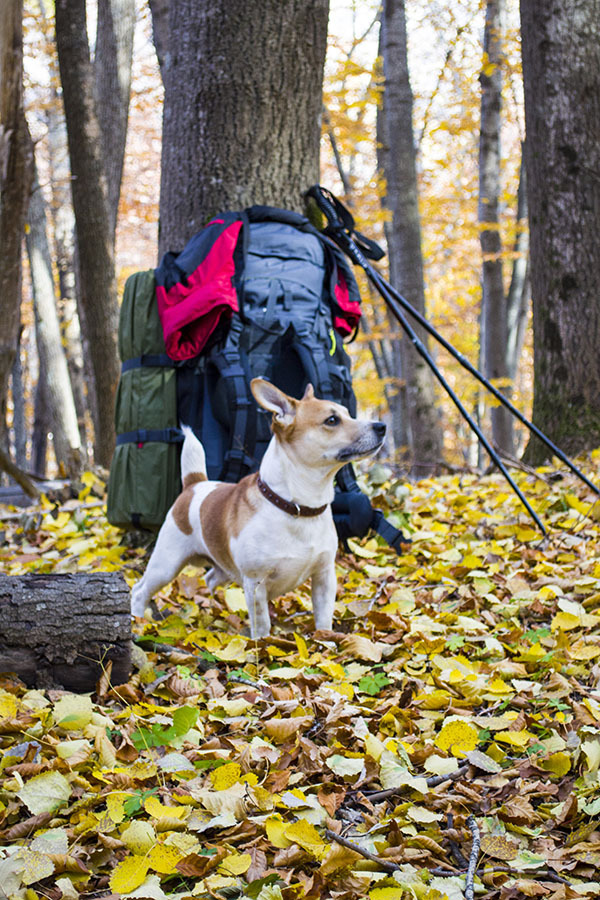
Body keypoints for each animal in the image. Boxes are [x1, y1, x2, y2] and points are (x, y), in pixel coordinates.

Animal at [131, 380, 384, 640]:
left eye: (348, 413)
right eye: (332, 420)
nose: (381, 426)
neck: (296, 507)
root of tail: (194, 484)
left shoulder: (324, 577)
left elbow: (323, 620)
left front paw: (326, 643)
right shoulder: (255, 584)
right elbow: (262, 625)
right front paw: (262, 646)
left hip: (221, 570)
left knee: (210, 579)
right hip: (166, 565)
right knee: (140, 591)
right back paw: (137, 621)